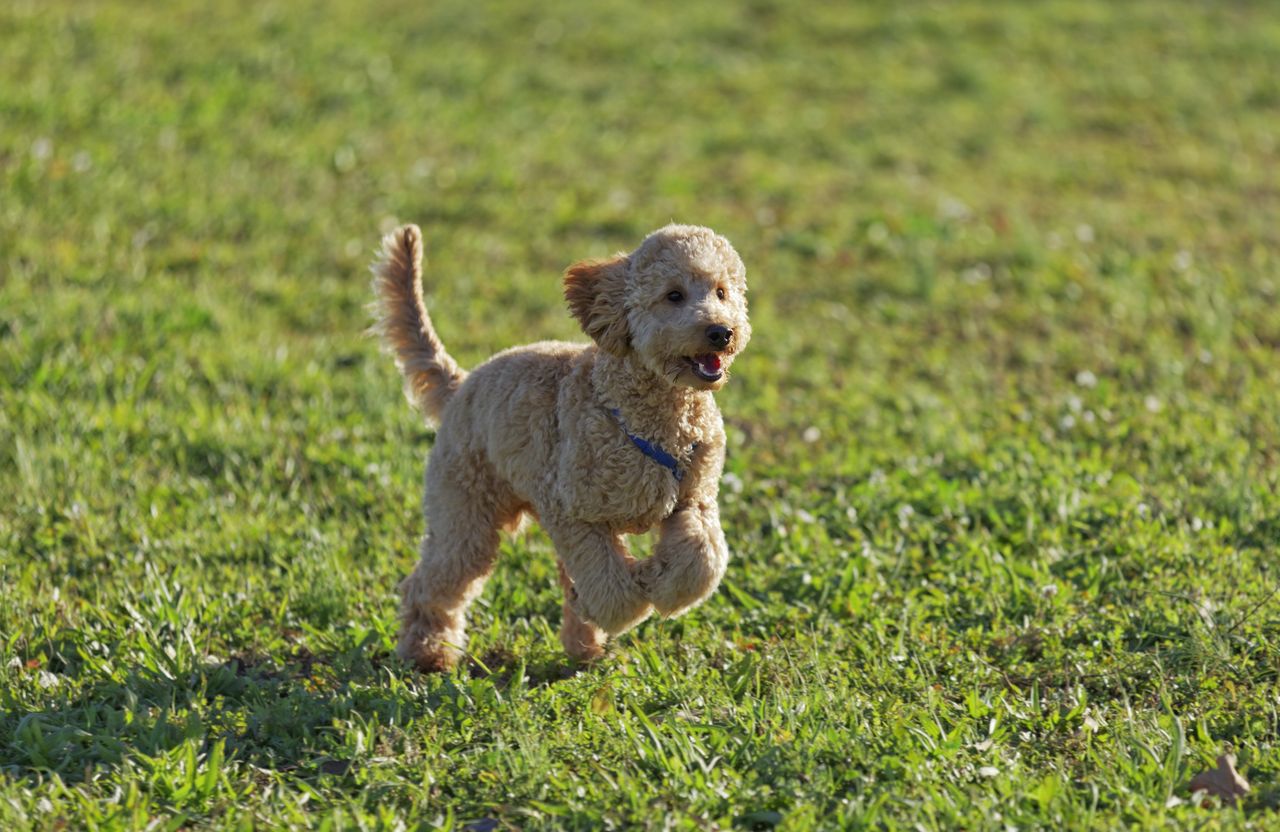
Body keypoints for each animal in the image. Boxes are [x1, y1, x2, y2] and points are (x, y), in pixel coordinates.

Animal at [371, 221, 747, 665]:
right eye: (674, 295)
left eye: (721, 292)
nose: (721, 332)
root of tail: (461, 386)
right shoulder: (574, 515)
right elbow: (613, 590)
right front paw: (636, 588)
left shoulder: (693, 498)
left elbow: (703, 559)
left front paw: (655, 577)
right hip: (466, 511)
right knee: (433, 581)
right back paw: (427, 653)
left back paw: (584, 646)